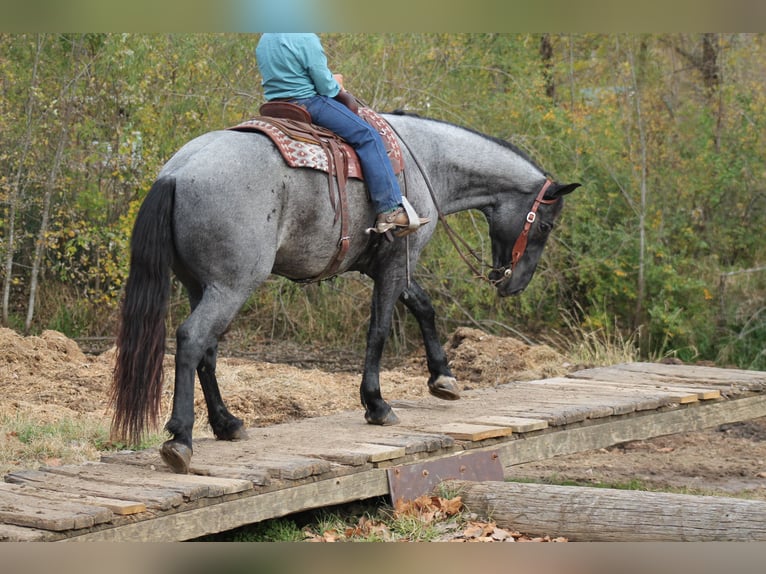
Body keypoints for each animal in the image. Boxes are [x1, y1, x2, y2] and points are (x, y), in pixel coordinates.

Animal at [112, 110, 584, 474]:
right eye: (545, 225)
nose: (512, 283)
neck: (427, 160)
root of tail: (177, 173)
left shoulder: (388, 263)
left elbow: (423, 306)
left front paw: (443, 377)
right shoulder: (396, 261)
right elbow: (379, 330)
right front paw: (376, 404)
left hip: (203, 286)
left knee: (207, 350)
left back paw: (228, 424)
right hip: (231, 286)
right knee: (193, 340)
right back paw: (181, 438)